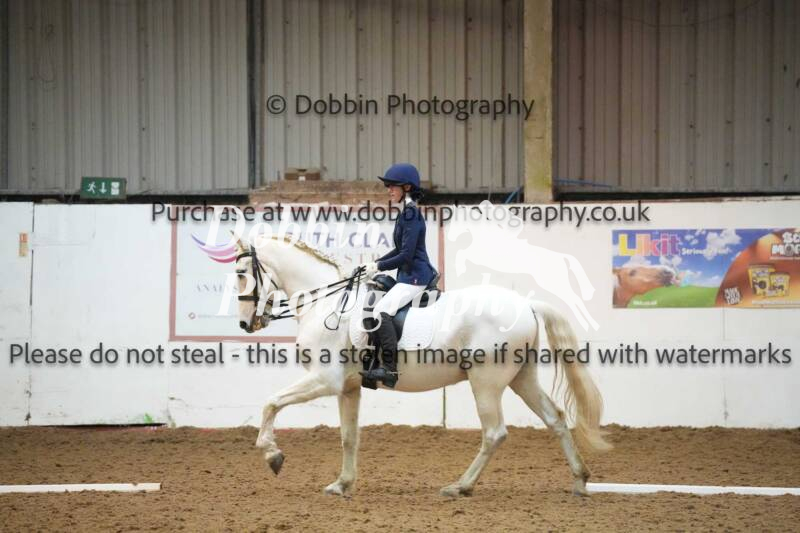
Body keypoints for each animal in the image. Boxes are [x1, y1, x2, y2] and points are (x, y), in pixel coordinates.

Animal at [233, 234, 610, 497]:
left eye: (240, 273)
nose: (245, 324)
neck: (327, 303)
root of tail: (527, 305)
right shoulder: (349, 387)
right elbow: (349, 437)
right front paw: (342, 484)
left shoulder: (325, 380)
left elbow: (271, 403)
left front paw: (272, 454)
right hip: (521, 378)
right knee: (555, 419)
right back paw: (580, 481)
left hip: (486, 381)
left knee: (494, 432)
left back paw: (460, 486)